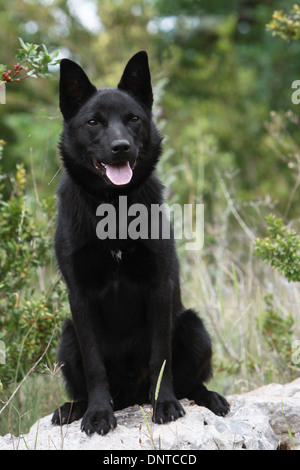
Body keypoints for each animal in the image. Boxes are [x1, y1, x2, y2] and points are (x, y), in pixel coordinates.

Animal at [52, 51, 230, 436]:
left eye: (133, 118)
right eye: (93, 122)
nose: (121, 148)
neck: (115, 208)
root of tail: (131, 397)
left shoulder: (159, 286)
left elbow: (161, 356)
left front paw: (165, 404)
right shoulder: (80, 297)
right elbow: (94, 366)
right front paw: (98, 414)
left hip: (193, 326)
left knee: (191, 383)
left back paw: (208, 398)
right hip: (68, 337)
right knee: (86, 385)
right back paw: (73, 408)